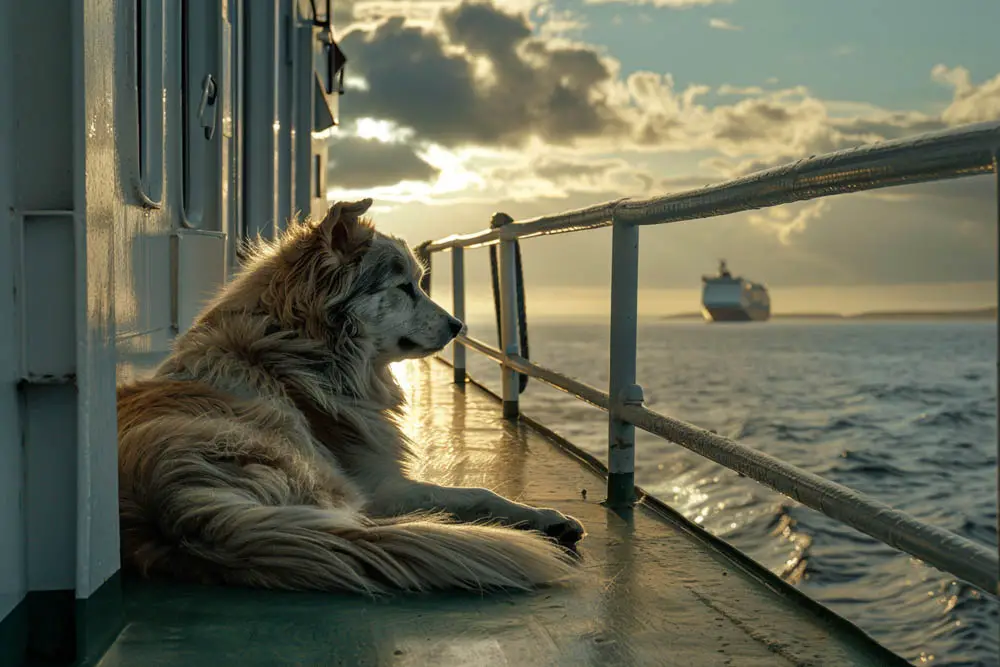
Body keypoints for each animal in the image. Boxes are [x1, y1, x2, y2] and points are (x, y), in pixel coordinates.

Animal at [117, 198, 584, 596]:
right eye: (404, 287)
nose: (458, 326)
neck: (296, 350)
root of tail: (174, 505)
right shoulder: (381, 484)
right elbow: (475, 493)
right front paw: (545, 518)